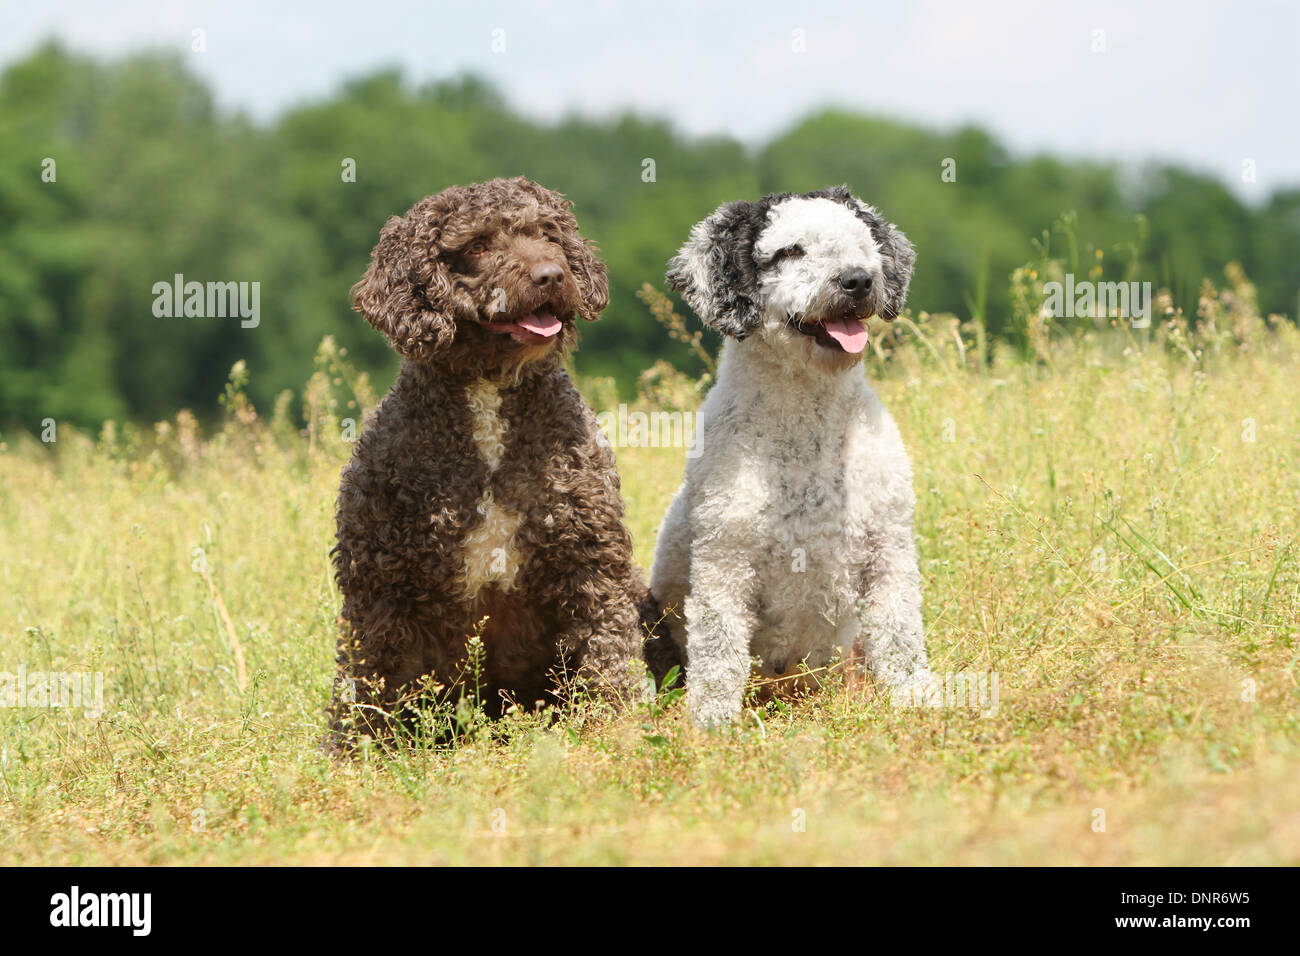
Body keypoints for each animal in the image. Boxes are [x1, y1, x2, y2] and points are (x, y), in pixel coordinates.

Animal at [650, 184, 935, 723]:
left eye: (862, 243)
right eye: (789, 251)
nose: (858, 279)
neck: (807, 436)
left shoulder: (888, 548)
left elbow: (902, 637)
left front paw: (916, 700)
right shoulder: (724, 561)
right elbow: (718, 653)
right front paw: (712, 725)